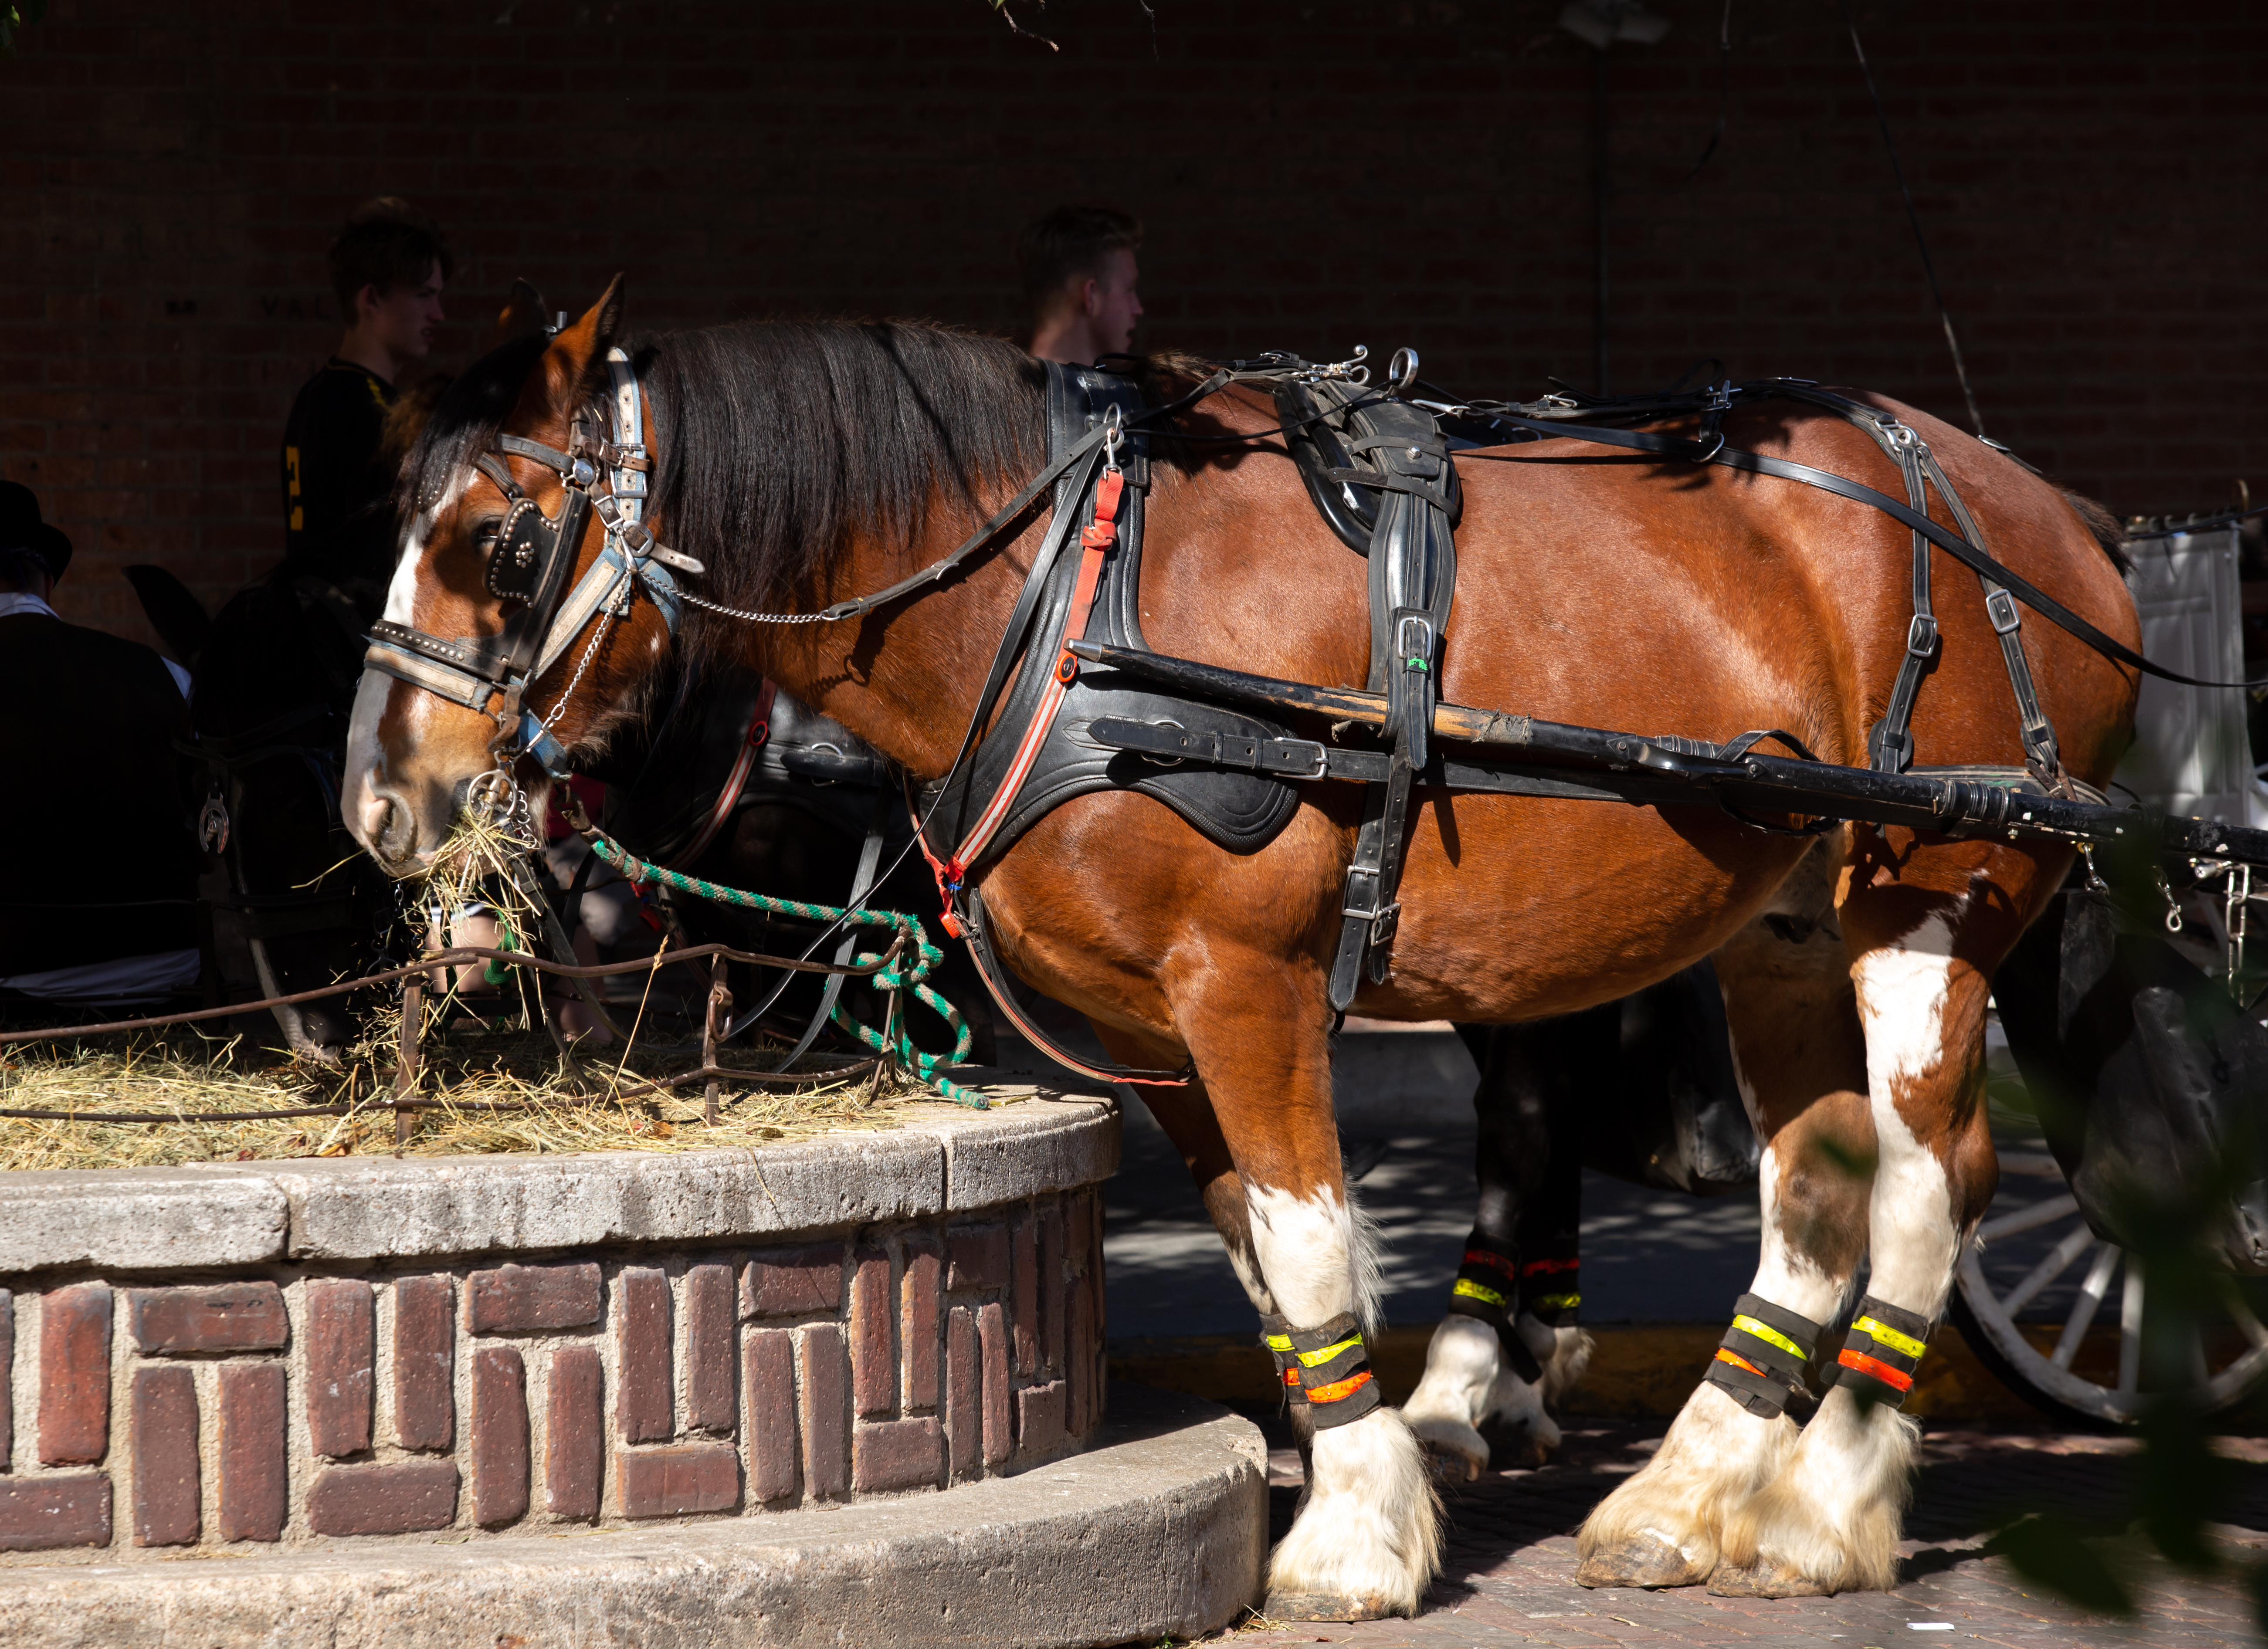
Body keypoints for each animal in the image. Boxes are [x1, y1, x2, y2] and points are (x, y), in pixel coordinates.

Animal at [342, 281, 2138, 1616]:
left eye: (507, 541)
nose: (378, 796)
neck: (1071, 598)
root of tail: (2055, 515)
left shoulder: (1245, 984)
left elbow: (1316, 1236)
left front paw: (1349, 1529)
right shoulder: (1146, 1027)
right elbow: (1260, 1256)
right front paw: (1380, 1463)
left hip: (1933, 901)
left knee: (1928, 1185)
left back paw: (1826, 1499)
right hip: (1782, 919)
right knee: (1815, 1190)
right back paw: (1688, 1491)